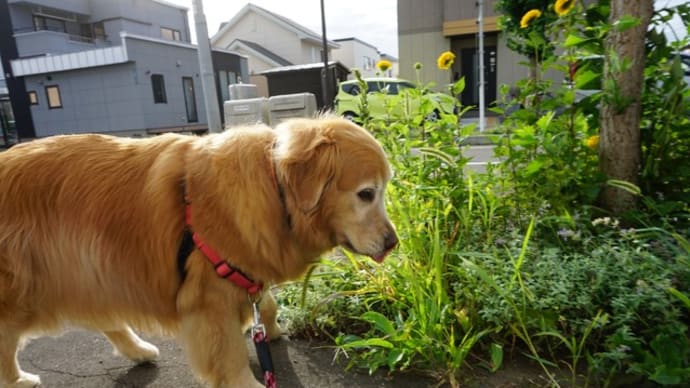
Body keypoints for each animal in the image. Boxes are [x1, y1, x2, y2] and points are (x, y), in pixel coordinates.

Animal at [0, 116, 396, 388]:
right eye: (366, 194)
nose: (394, 243)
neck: (274, 188)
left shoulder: (242, 272)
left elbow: (265, 302)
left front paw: (270, 329)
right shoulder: (210, 299)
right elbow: (229, 354)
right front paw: (248, 381)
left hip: (87, 269)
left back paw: (138, 350)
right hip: (24, 288)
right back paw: (18, 379)